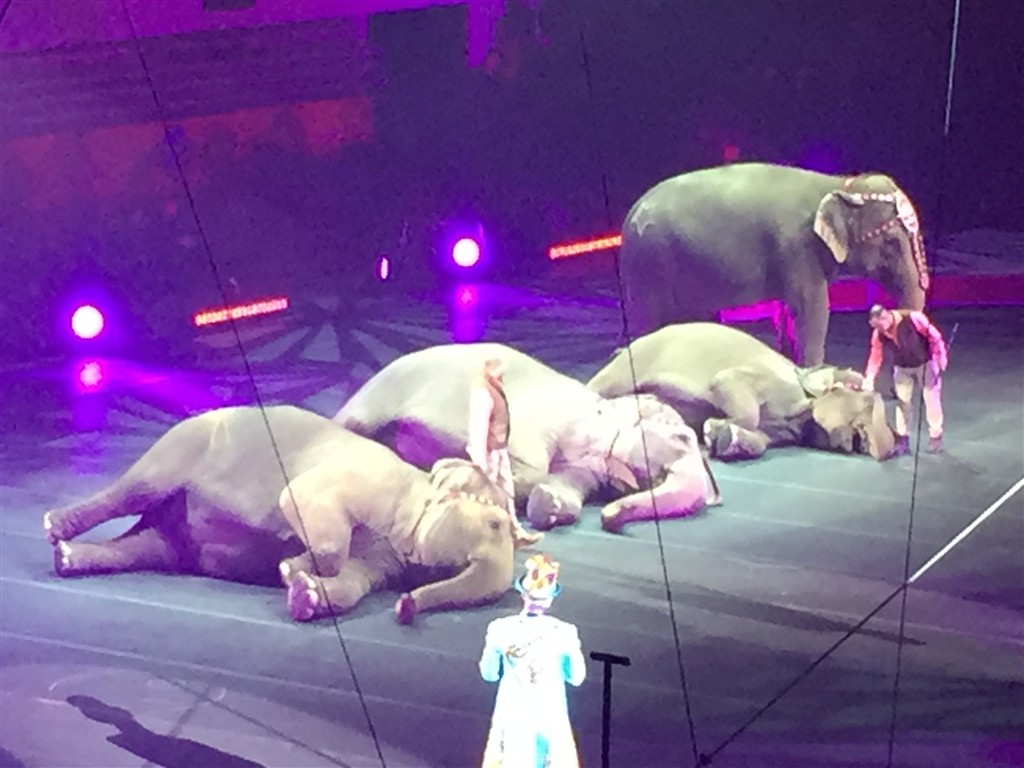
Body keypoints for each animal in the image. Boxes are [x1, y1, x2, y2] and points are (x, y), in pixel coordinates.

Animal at [42, 405, 518, 624]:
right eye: (495, 523)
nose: (404, 608)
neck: (418, 484)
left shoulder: (387, 558)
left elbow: (355, 582)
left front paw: (303, 593)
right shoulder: (368, 477)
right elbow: (304, 502)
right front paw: (292, 568)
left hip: (173, 536)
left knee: (146, 546)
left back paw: (68, 558)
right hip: (182, 448)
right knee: (134, 490)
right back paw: (54, 527)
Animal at [334, 343, 721, 534]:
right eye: (683, 438)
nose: (608, 518)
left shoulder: (587, 469)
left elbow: (565, 486)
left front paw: (549, 507)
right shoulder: (549, 412)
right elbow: (525, 456)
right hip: (379, 396)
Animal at [587, 323, 896, 462]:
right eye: (863, 396)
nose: (897, 445)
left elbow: (759, 441)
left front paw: (723, 438)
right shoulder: (762, 379)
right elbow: (732, 390)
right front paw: (713, 428)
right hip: (628, 366)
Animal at [617, 162, 929, 366]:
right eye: (891, 242)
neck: (838, 184)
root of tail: (630, 214)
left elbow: (791, 312)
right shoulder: (798, 246)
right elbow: (814, 309)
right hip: (649, 264)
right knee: (648, 322)